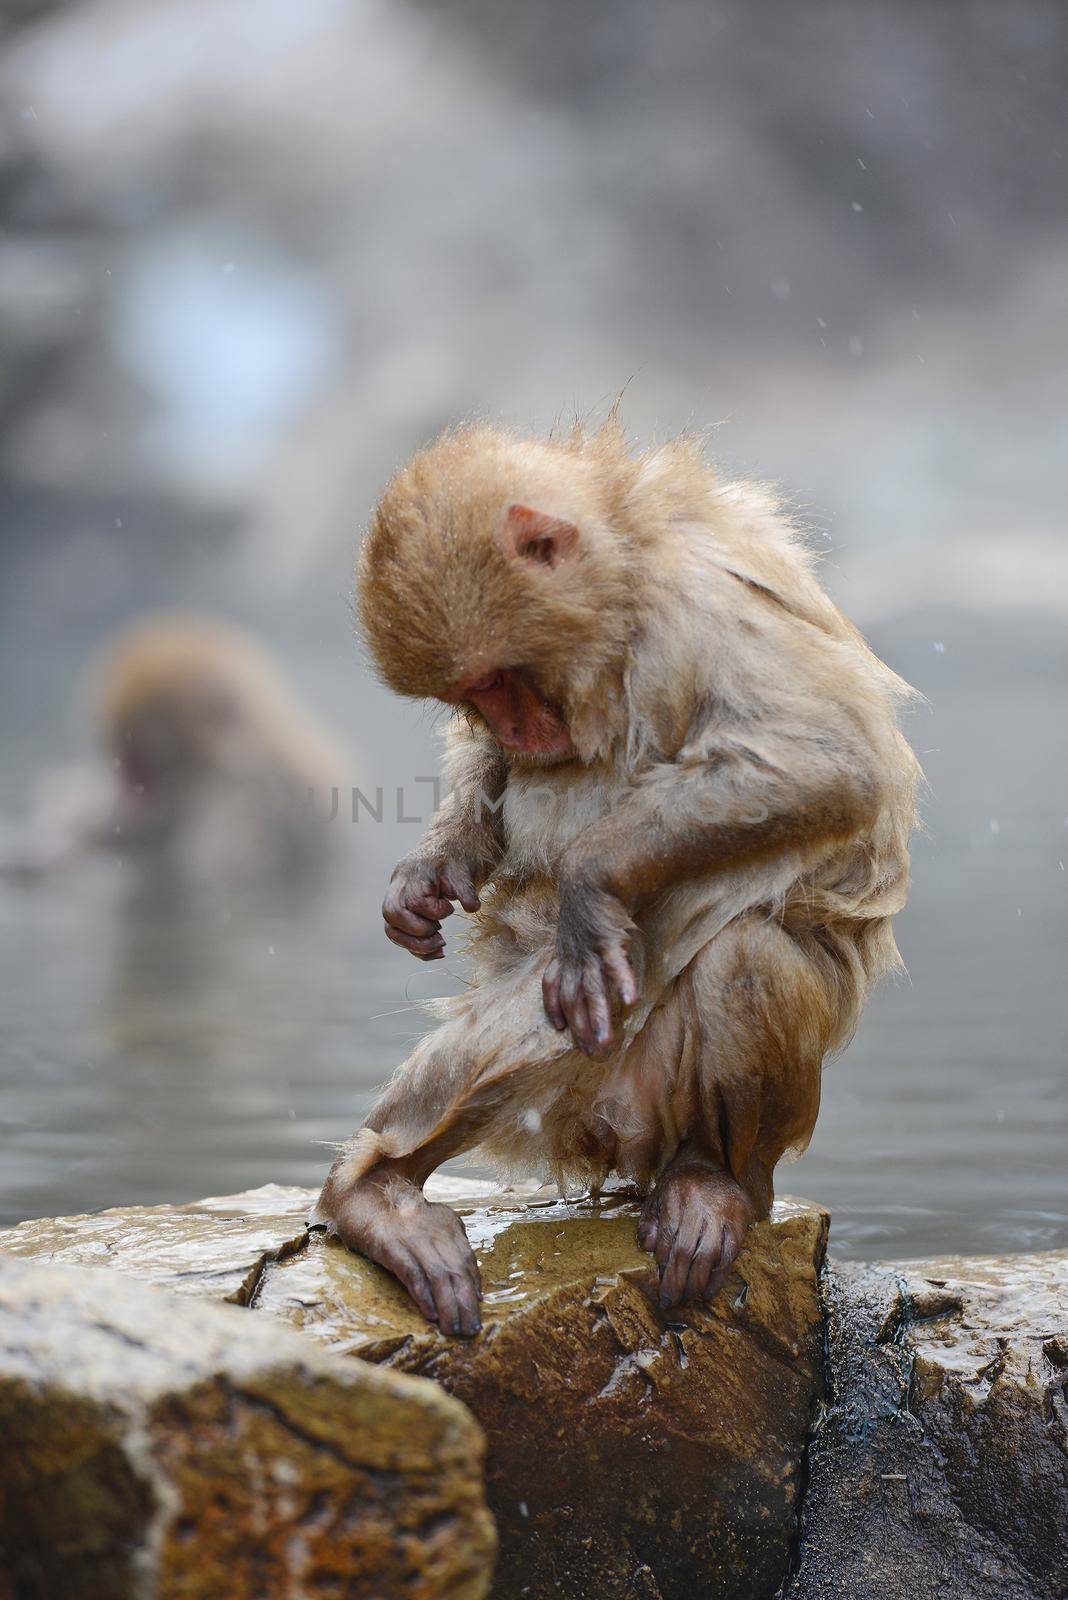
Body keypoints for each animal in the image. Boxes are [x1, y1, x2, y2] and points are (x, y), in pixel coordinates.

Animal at [314, 422, 920, 1337]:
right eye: (473, 695)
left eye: (501, 680)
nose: (514, 726)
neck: (625, 582)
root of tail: (617, 1147)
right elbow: (493, 791)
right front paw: (431, 867)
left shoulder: (697, 606)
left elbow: (823, 763)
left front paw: (589, 885)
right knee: (507, 1038)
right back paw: (377, 1190)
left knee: (745, 953)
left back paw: (713, 1180)